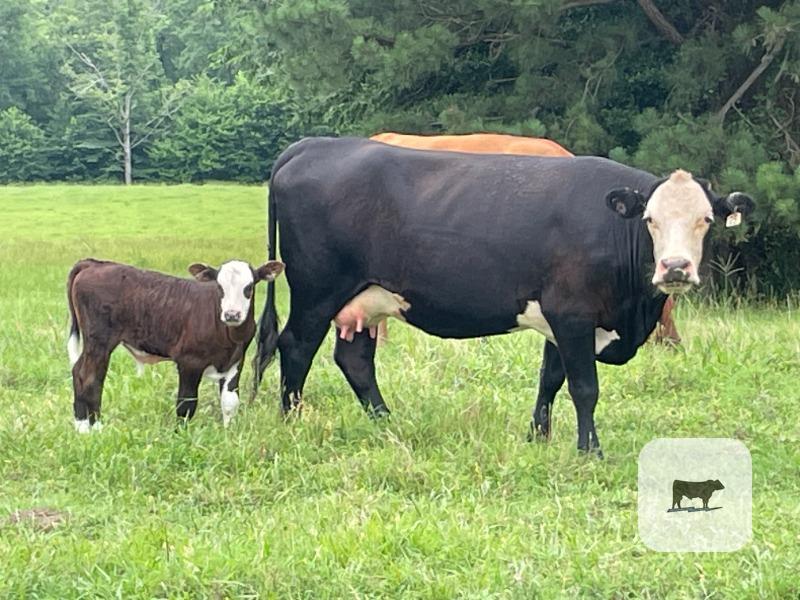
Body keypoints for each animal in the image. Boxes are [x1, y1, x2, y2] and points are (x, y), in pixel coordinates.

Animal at [67, 257, 284, 432]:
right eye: (219, 287)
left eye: (249, 287)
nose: (232, 314)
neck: (228, 334)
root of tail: (94, 264)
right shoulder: (189, 362)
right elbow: (186, 404)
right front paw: (180, 435)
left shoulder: (236, 361)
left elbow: (230, 402)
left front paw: (228, 433)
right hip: (99, 342)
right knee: (88, 377)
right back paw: (90, 428)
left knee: (83, 373)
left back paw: (84, 425)